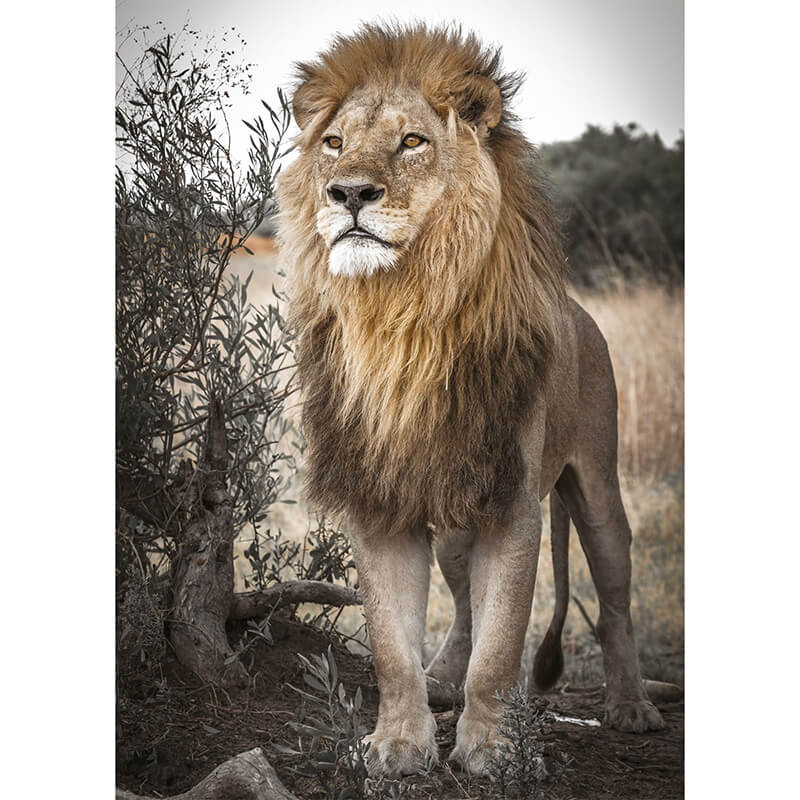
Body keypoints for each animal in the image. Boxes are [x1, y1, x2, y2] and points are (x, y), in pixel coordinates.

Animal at [277, 23, 666, 777]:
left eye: (412, 142)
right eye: (333, 142)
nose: (348, 193)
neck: (401, 315)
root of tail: (581, 312)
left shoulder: (512, 508)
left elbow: (502, 642)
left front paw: (491, 749)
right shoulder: (380, 500)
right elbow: (393, 646)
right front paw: (398, 744)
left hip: (596, 489)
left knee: (614, 601)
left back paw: (631, 705)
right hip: (457, 521)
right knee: (459, 606)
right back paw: (440, 680)